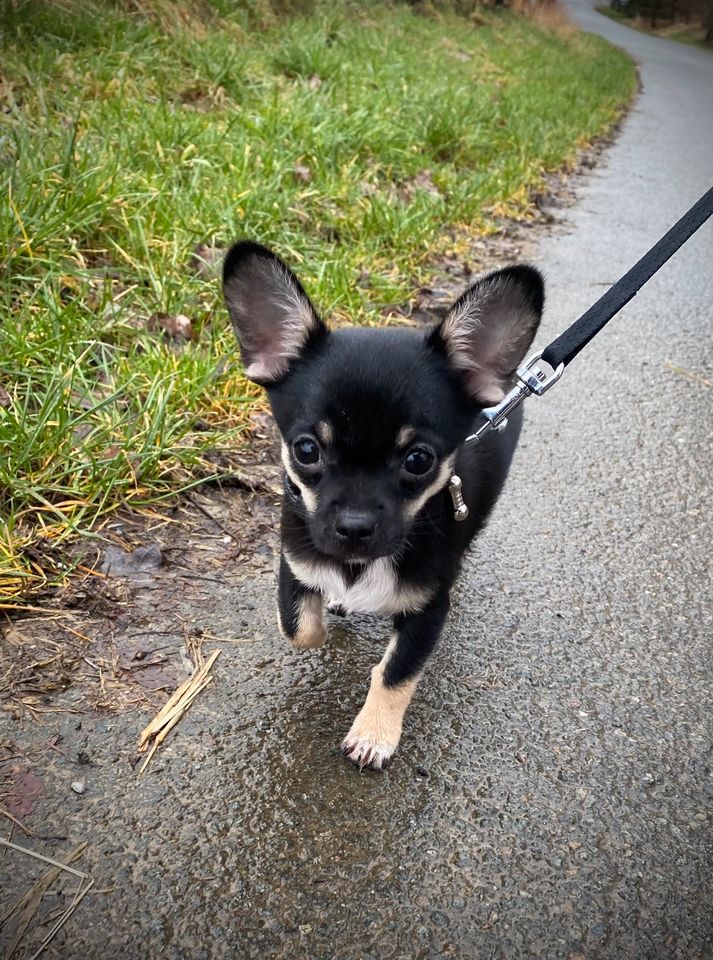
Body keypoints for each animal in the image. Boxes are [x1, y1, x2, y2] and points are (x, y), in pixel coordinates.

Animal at [225, 242, 544, 772]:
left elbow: (396, 672)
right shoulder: (295, 562)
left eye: (419, 460)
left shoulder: (426, 610)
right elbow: (300, 627)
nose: (355, 527)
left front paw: (374, 734)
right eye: (306, 450)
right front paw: (327, 605)